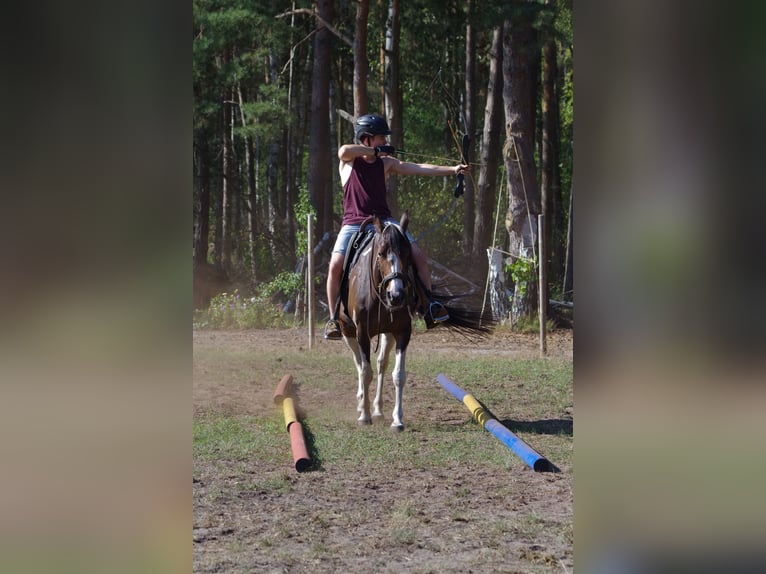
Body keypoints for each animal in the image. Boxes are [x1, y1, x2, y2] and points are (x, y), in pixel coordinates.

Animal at [338, 213, 492, 432]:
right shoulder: (361, 333)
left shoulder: (402, 331)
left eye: (407, 254)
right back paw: (363, 405)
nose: (396, 295)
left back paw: (377, 410)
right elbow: (365, 372)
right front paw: (364, 416)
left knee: (381, 363)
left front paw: (397, 419)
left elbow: (398, 375)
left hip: (387, 333)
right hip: (347, 330)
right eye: (381, 253)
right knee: (360, 364)